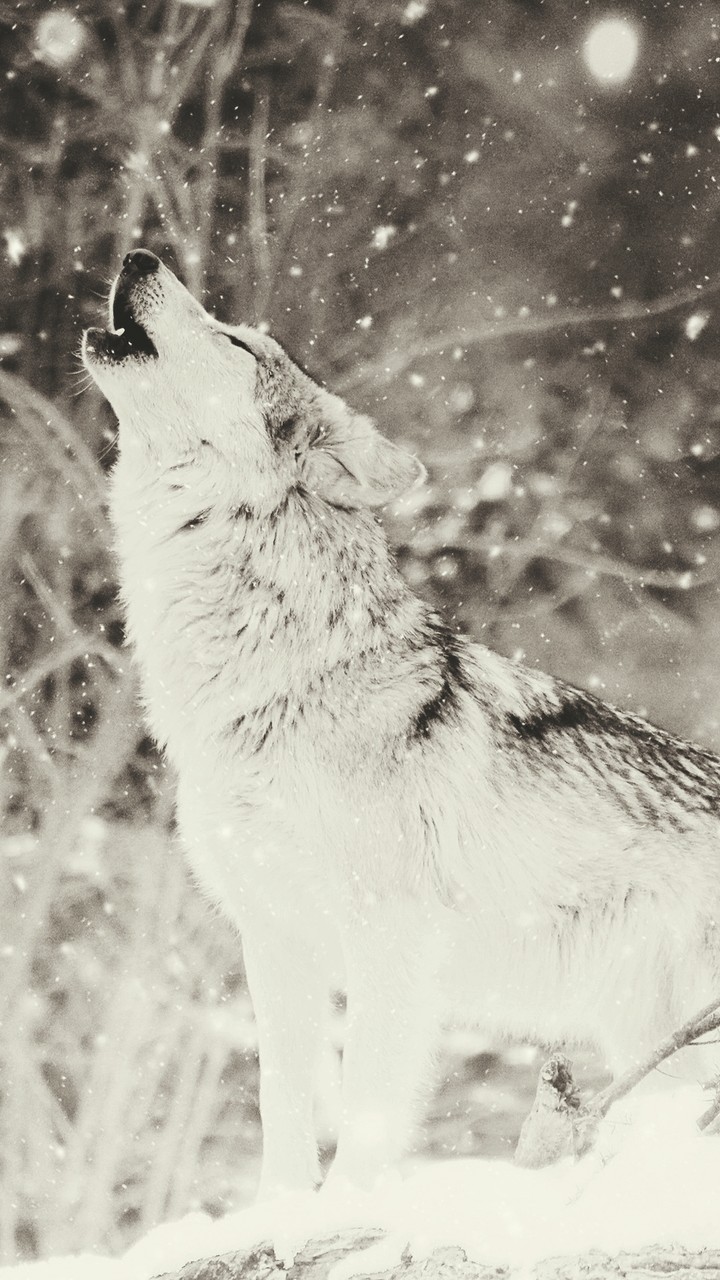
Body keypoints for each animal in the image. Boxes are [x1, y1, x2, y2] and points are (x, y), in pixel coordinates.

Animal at [83, 249, 720, 1197]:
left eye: (235, 341)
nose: (139, 256)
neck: (282, 680)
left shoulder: (391, 944)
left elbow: (368, 1120)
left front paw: (346, 1211)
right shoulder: (276, 943)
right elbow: (281, 1110)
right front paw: (282, 1215)